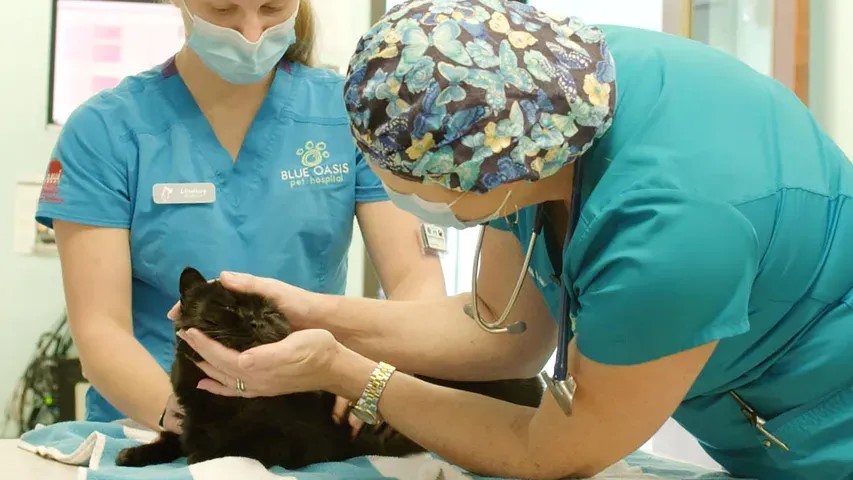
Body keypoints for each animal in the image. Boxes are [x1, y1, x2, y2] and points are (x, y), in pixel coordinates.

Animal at [116, 266, 544, 468]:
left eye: (270, 313)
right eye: (229, 307)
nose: (255, 321)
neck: (227, 402)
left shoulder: (293, 443)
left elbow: (228, 448)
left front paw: (200, 456)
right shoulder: (188, 420)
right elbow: (173, 438)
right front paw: (133, 455)